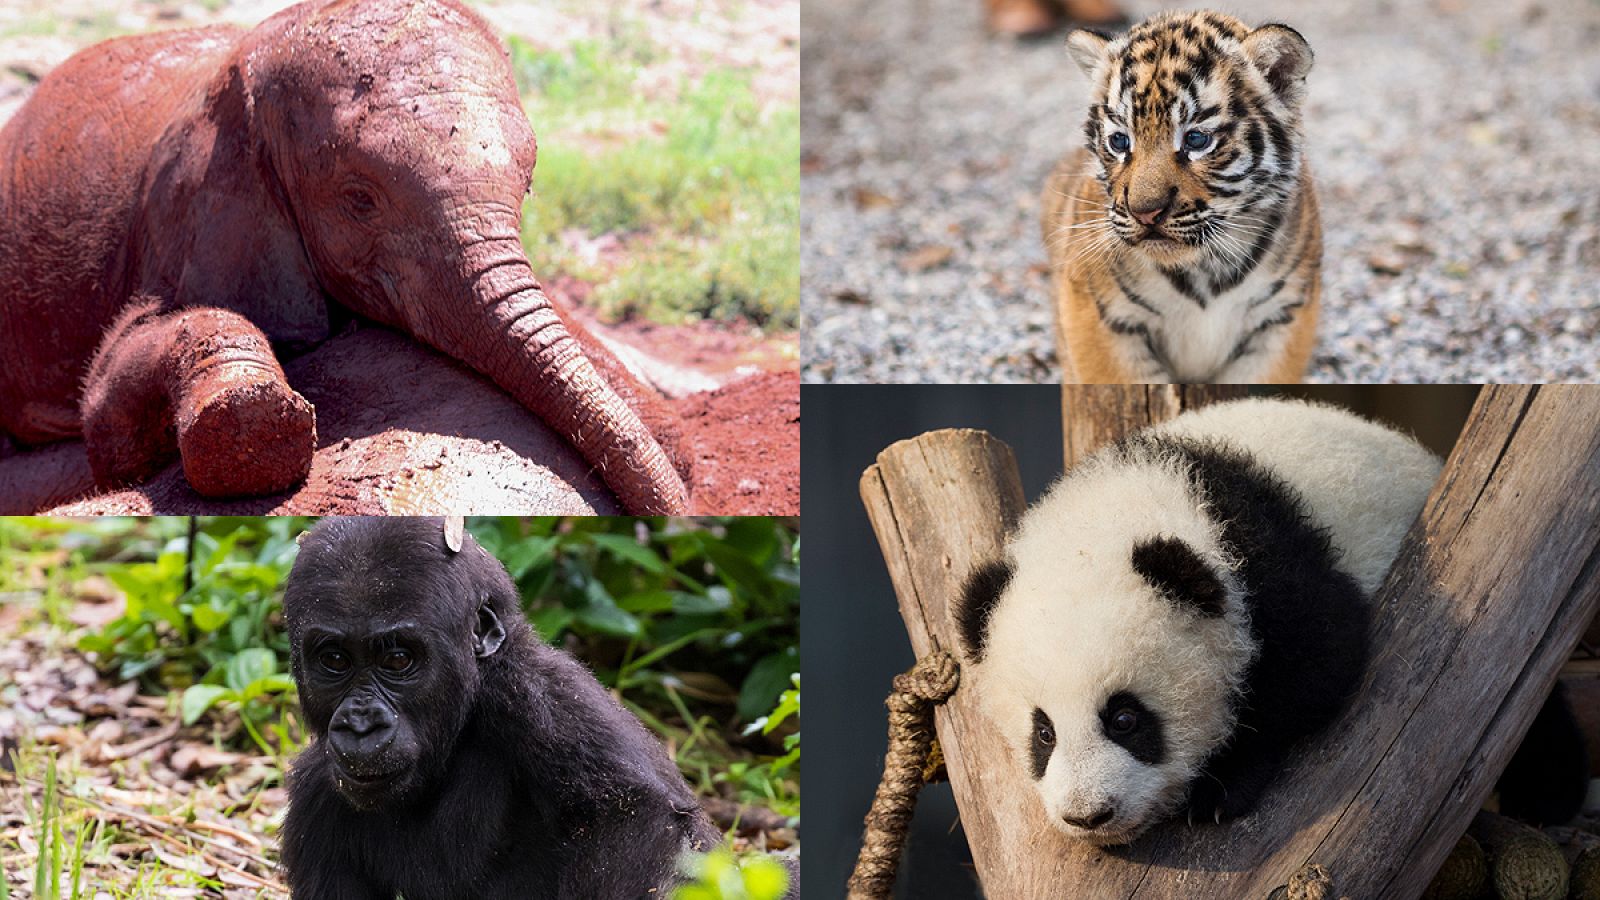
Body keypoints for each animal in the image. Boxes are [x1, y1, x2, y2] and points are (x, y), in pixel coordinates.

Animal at [281, 515, 720, 890]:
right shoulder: (314, 798)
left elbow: (633, 816)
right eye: (336, 660)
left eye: (398, 660)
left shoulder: (537, 694)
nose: (361, 723)